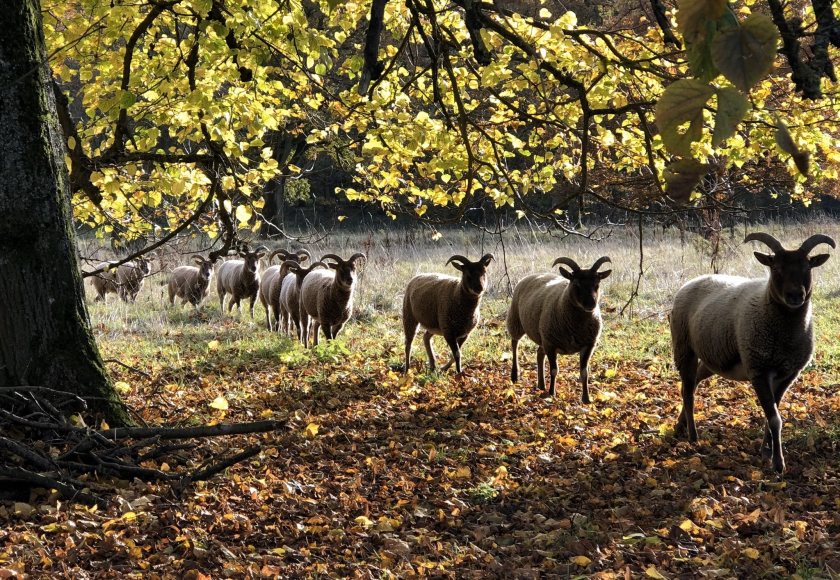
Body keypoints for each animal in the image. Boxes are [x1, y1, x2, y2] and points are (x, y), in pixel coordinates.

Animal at [506, 256, 612, 402]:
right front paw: (552, 393)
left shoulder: (589, 345)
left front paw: (586, 398)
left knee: (539, 353)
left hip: (542, 335)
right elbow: (554, 370)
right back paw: (515, 375)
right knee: (514, 343)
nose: (591, 304)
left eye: (597, 284)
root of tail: (531, 275)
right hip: (516, 320)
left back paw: (541, 385)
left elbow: (584, 372)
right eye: (576, 284)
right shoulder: (551, 344)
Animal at [668, 233, 832, 474]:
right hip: (683, 347)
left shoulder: (788, 374)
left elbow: (773, 414)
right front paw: (778, 464)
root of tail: (689, 282)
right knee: (688, 390)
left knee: (692, 382)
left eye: (807, 267)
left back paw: (680, 426)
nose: (795, 296)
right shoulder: (759, 370)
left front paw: (766, 451)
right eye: (776, 268)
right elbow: (775, 418)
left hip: (712, 359)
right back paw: (693, 436)